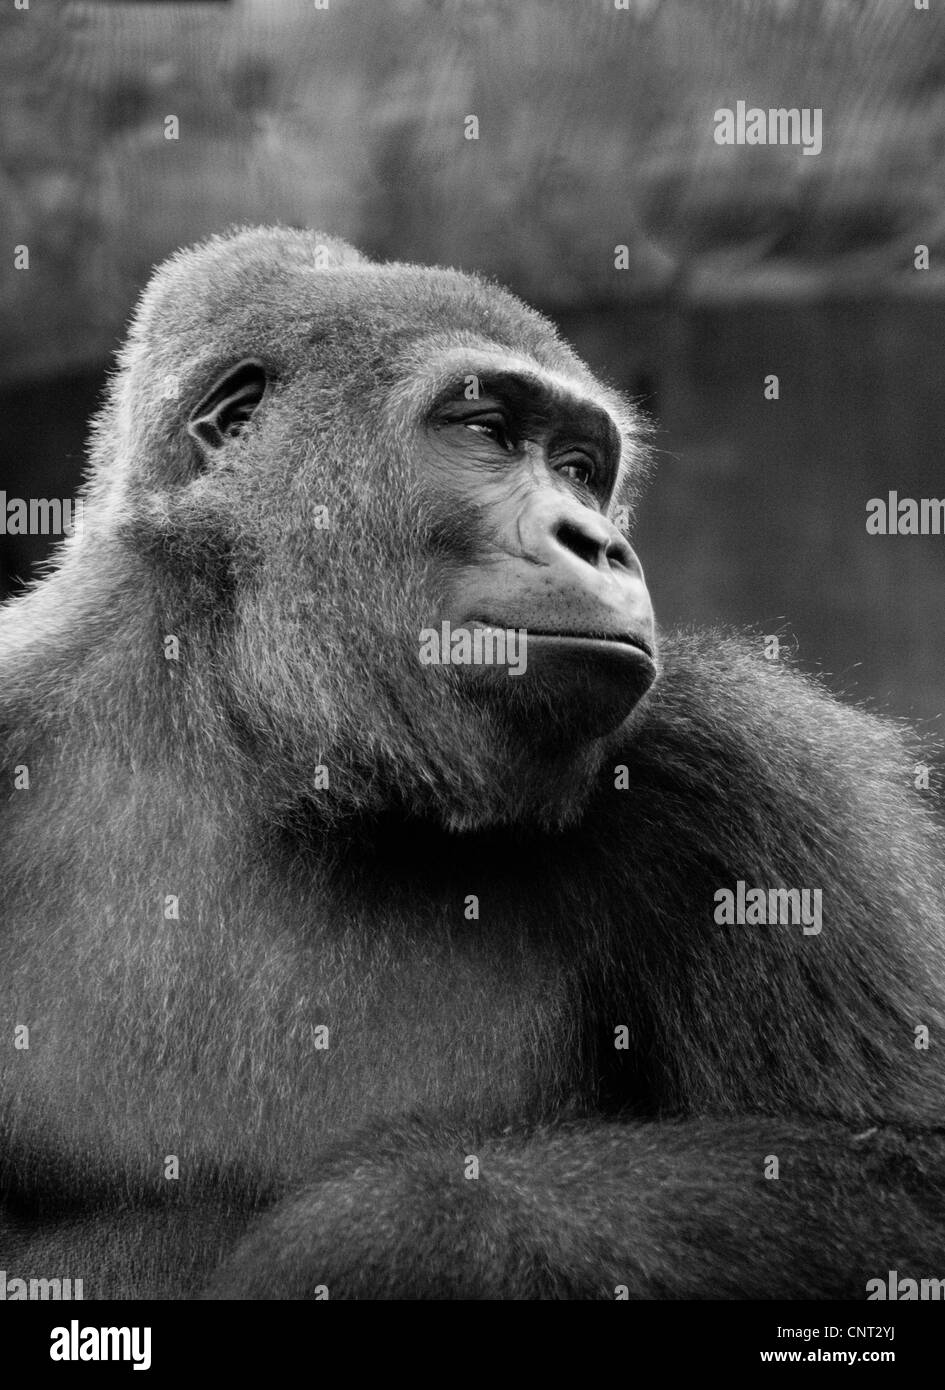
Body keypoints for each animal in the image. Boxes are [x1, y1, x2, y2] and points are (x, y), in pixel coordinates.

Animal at [1, 225, 944, 1300]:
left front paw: (378, 1235)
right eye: (486, 429)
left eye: (578, 468)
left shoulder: (746, 769)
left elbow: (901, 1172)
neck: (268, 750)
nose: (601, 544)